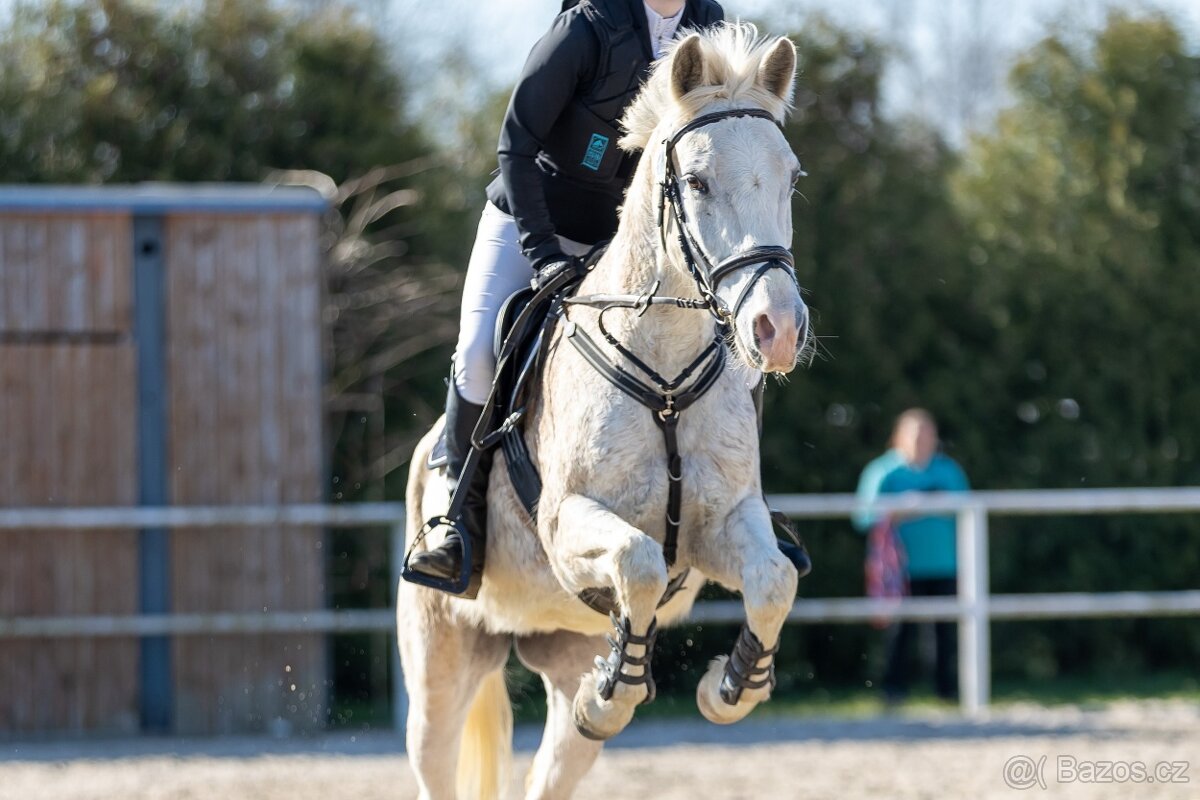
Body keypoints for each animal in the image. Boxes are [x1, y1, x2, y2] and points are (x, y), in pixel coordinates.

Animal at [399, 24, 810, 800]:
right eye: (697, 182)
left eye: (791, 177)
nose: (777, 329)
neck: (666, 373)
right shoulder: (567, 527)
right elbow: (639, 561)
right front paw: (617, 690)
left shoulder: (721, 524)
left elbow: (774, 581)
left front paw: (730, 686)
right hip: (443, 659)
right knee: (435, 753)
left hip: (560, 652)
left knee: (561, 753)